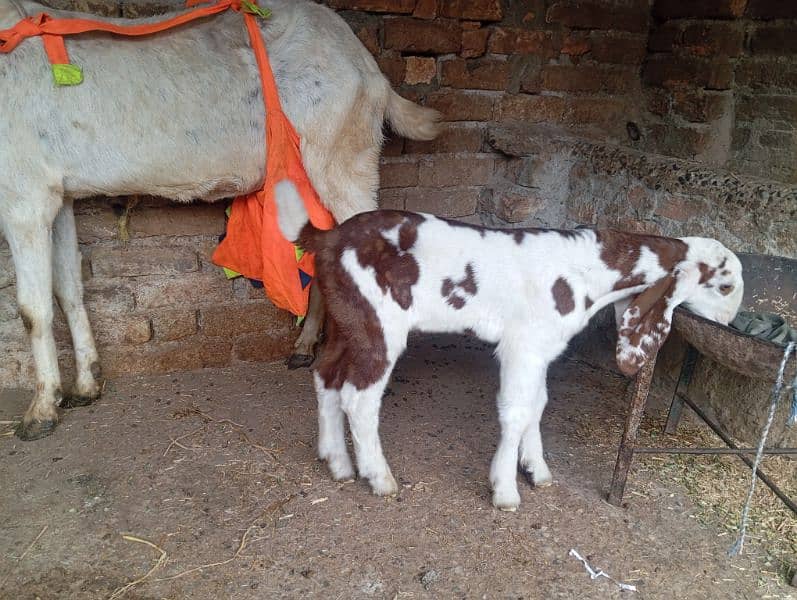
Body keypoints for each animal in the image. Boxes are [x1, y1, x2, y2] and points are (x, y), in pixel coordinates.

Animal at [0, 0, 442, 440]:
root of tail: (369, 67)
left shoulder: (23, 195)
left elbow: (32, 309)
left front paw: (40, 413)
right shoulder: (58, 194)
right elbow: (67, 291)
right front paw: (86, 387)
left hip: (344, 158)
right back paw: (305, 347)